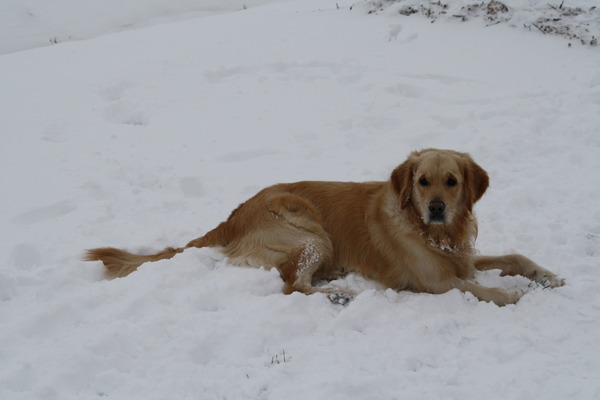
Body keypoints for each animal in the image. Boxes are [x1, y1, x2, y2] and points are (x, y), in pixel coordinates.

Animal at [83, 150, 564, 306]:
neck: (435, 234)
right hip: (311, 232)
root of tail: (233, 215)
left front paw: (547, 277)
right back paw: (339, 294)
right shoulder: (435, 281)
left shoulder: (461, 258)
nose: (437, 208)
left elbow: (514, 256)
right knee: (291, 284)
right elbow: (484, 289)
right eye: (422, 181)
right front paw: (516, 294)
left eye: (451, 181)